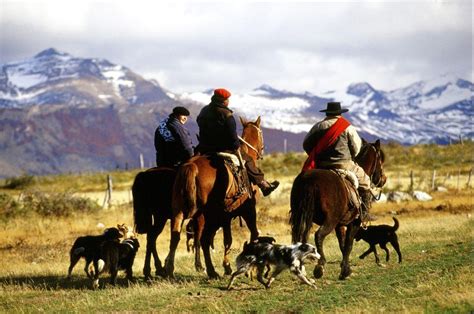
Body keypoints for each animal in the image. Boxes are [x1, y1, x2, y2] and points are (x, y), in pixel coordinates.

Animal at [165, 116, 264, 278]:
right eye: (261, 133)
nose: (261, 151)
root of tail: (191, 167)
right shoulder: (246, 210)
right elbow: (246, 235)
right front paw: (231, 266)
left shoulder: (225, 217)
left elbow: (226, 239)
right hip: (208, 215)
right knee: (203, 239)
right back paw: (210, 270)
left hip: (180, 211)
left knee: (177, 237)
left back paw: (171, 268)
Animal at [288, 139, 386, 280]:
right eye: (380, 160)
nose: (383, 179)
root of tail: (308, 180)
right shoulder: (354, 223)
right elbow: (348, 244)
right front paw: (345, 271)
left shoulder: (339, 225)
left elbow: (342, 244)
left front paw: (345, 268)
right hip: (330, 220)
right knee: (319, 235)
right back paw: (320, 266)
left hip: (303, 218)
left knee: (301, 239)